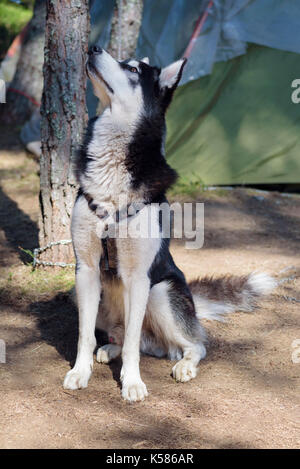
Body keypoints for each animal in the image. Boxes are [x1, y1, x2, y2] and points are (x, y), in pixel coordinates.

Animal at [63, 45, 276, 400]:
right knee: (130, 337)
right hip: (81, 294)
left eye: (133, 70)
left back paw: (184, 366)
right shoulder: (87, 270)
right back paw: (109, 349)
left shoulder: (139, 278)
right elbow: (85, 335)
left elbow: (133, 343)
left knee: (188, 345)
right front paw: (81, 371)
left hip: (160, 292)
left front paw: (132, 383)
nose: (93, 48)